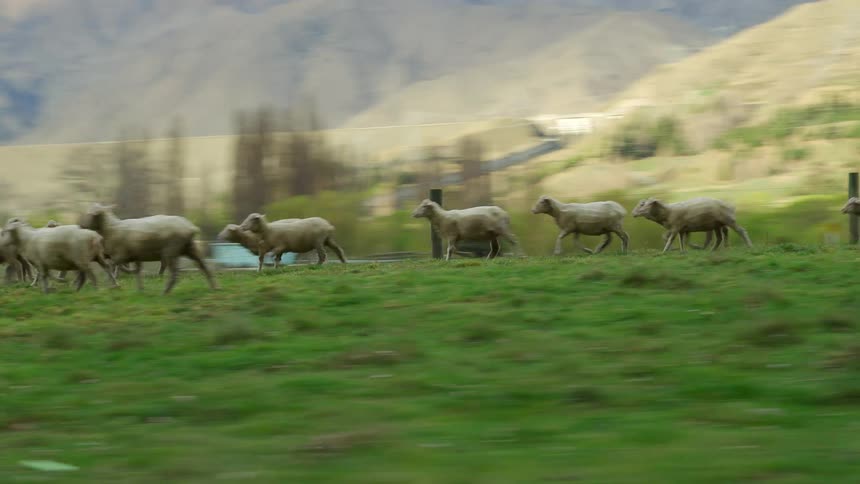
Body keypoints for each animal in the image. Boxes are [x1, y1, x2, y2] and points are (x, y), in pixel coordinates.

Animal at [78, 203, 217, 294]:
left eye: (89, 214)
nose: (81, 226)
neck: (111, 229)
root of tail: (191, 228)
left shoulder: (120, 255)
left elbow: (113, 267)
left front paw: (112, 285)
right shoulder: (135, 256)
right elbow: (137, 271)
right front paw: (140, 289)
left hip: (170, 251)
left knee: (175, 273)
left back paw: (165, 291)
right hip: (190, 248)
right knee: (205, 267)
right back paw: (214, 287)